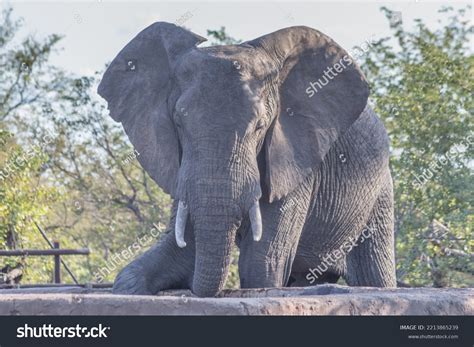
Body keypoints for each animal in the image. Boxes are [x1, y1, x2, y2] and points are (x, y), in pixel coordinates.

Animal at [98, 23, 398, 298]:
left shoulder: (294, 158)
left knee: (375, 271)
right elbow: (177, 252)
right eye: (179, 123)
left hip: (380, 192)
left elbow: (261, 265)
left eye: (260, 126)